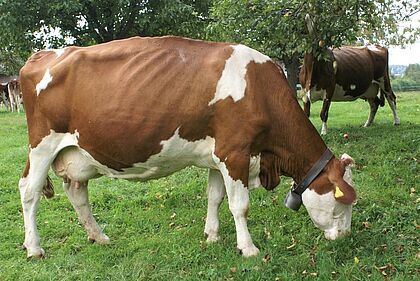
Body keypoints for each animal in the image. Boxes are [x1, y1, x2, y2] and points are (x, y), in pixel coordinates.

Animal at [18, 35, 356, 258]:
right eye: (344, 202)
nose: (345, 236)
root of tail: (43, 55)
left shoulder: (219, 156)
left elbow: (215, 197)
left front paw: (212, 235)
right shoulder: (235, 153)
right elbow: (240, 205)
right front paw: (248, 248)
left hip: (77, 152)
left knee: (77, 192)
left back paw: (98, 236)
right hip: (42, 145)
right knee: (29, 191)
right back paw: (34, 248)